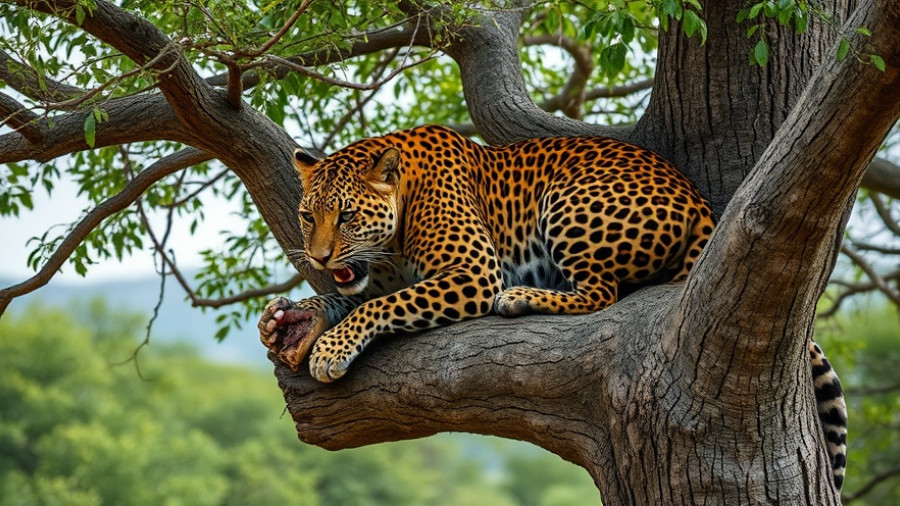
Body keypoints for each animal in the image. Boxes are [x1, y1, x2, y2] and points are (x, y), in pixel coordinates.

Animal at [257, 124, 847, 490]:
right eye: (308, 217)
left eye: (348, 216)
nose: (317, 255)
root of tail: (700, 203)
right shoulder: (373, 277)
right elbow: (355, 295)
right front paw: (294, 320)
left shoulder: (472, 271)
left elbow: (385, 304)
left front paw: (331, 349)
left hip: (569, 199)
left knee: (601, 294)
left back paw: (520, 298)